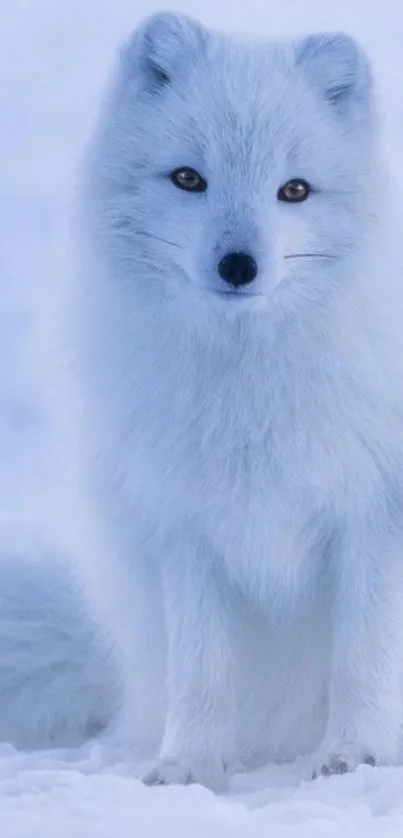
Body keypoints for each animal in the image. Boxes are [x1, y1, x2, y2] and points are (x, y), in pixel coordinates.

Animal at [2, 9, 403, 792]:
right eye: (189, 178)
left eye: (294, 190)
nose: (238, 265)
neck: (251, 388)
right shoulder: (186, 525)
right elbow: (202, 668)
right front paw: (187, 765)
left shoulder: (373, 514)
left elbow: (362, 658)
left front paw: (354, 756)